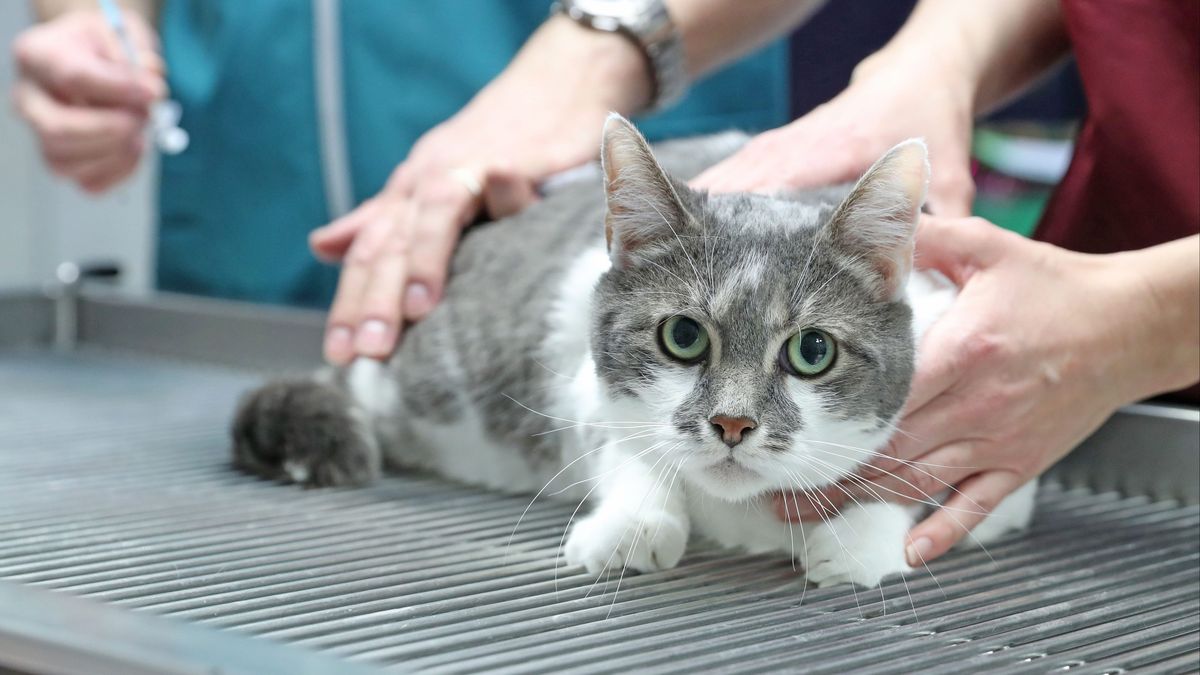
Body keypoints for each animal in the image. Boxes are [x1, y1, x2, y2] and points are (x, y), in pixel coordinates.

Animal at [229, 114, 1036, 583]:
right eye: (682, 337)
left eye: (812, 351)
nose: (733, 423)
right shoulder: (585, 387)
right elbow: (630, 450)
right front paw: (633, 526)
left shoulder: (1002, 473)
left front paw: (859, 541)